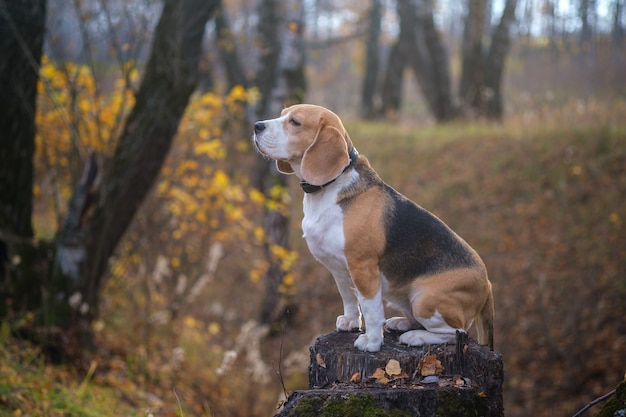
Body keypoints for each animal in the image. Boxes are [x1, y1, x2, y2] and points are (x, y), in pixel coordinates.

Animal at [250, 104, 492, 352]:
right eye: (282, 114)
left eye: (295, 122)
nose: (257, 126)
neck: (330, 186)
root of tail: (488, 284)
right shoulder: (338, 269)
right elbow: (349, 299)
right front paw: (350, 321)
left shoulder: (363, 268)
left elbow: (372, 310)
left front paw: (373, 341)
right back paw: (402, 323)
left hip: (425, 299)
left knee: (456, 332)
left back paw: (416, 336)